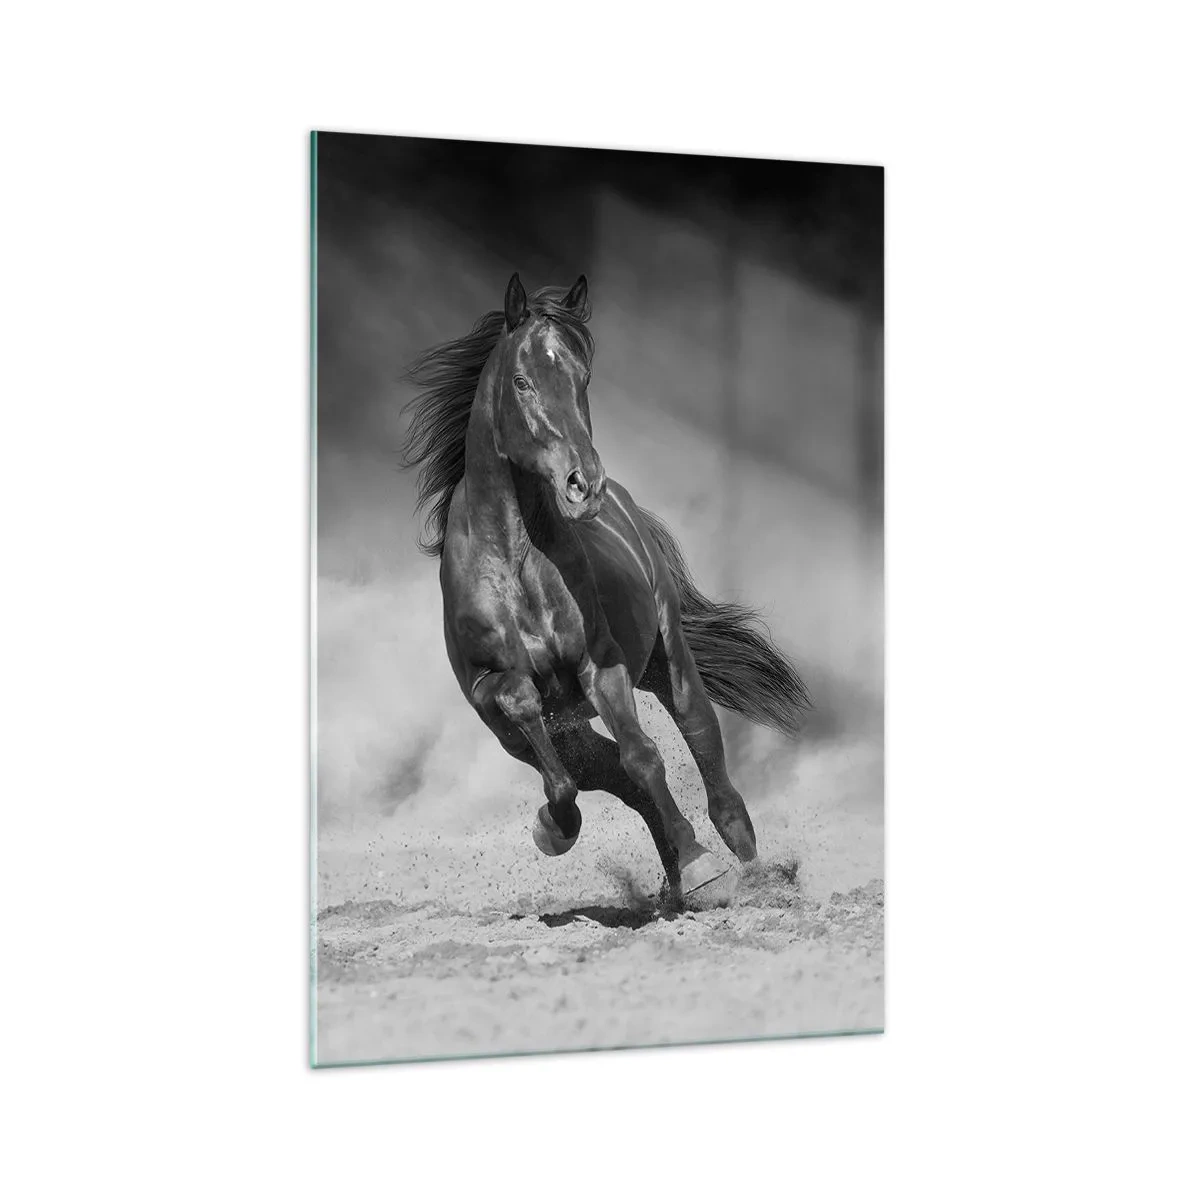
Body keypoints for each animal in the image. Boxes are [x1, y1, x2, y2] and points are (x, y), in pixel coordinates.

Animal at [401, 273, 809, 898]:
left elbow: (644, 757)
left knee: (701, 743)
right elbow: (558, 751)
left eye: (582, 377)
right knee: (608, 774)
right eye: (522, 381)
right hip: (555, 729)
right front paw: (554, 829)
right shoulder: (492, 700)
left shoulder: (601, 666)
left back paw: (746, 867)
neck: (516, 563)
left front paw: (701, 863)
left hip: (669, 661)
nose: (582, 483)